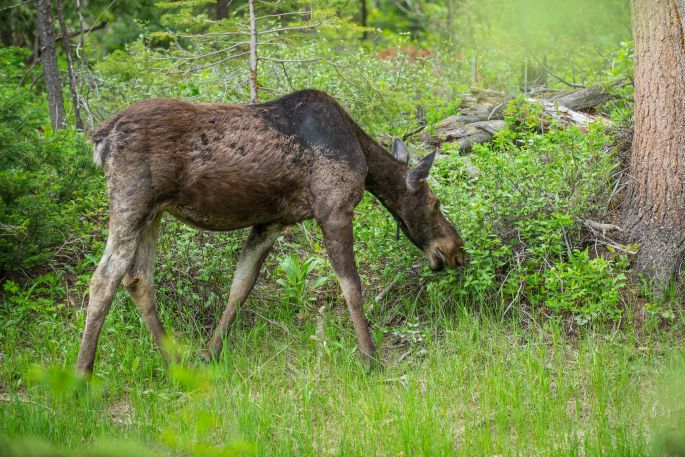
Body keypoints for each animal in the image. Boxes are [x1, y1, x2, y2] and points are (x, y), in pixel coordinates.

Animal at [76, 89, 466, 374]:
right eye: (435, 203)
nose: (457, 250)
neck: (363, 158)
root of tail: (101, 137)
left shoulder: (272, 221)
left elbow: (241, 285)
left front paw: (209, 354)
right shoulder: (334, 209)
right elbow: (352, 288)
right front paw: (371, 359)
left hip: (154, 212)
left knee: (138, 278)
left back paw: (174, 360)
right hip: (132, 201)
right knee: (105, 277)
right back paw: (82, 374)